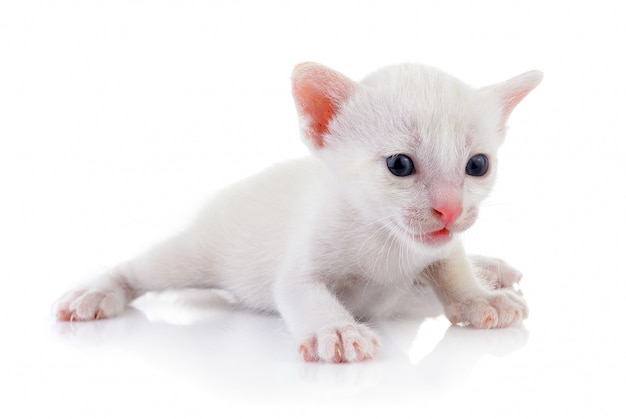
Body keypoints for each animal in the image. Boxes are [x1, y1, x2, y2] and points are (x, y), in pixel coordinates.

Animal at [54, 61, 540, 364]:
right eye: (399, 165)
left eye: (478, 165)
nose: (450, 209)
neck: (386, 243)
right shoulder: (299, 268)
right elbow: (305, 293)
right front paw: (337, 331)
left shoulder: (437, 248)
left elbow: (452, 265)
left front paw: (479, 298)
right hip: (197, 252)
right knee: (143, 268)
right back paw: (95, 292)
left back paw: (491, 269)